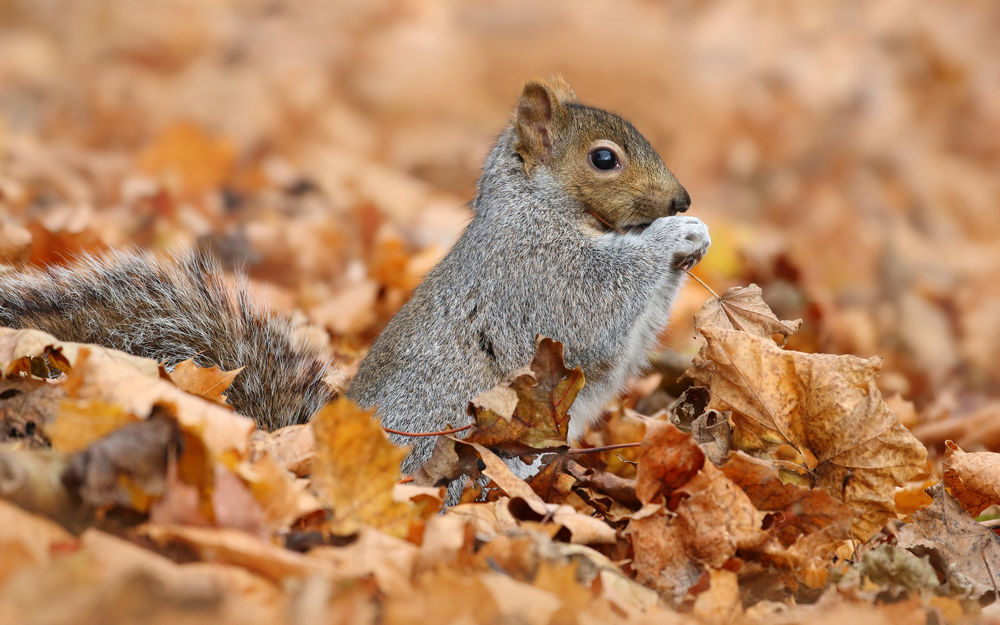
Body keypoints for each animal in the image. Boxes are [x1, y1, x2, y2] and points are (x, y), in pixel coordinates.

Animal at [0, 77, 709, 479]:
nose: (680, 199)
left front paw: (691, 239)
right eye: (604, 159)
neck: (538, 209)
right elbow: (598, 306)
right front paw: (673, 236)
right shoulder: (540, 272)